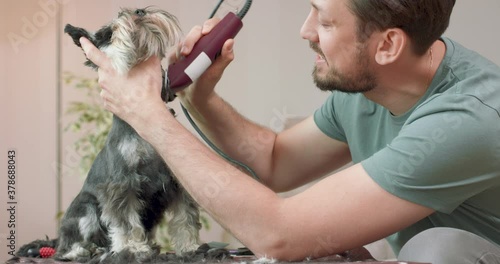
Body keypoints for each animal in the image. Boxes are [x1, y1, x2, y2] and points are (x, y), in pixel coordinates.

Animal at [16, 7, 202, 262]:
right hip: (85, 209)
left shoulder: (178, 181)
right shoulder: (122, 185)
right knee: (65, 247)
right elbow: (127, 223)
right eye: (106, 34)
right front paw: (134, 249)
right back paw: (84, 250)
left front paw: (189, 247)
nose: (138, 11)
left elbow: (186, 217)